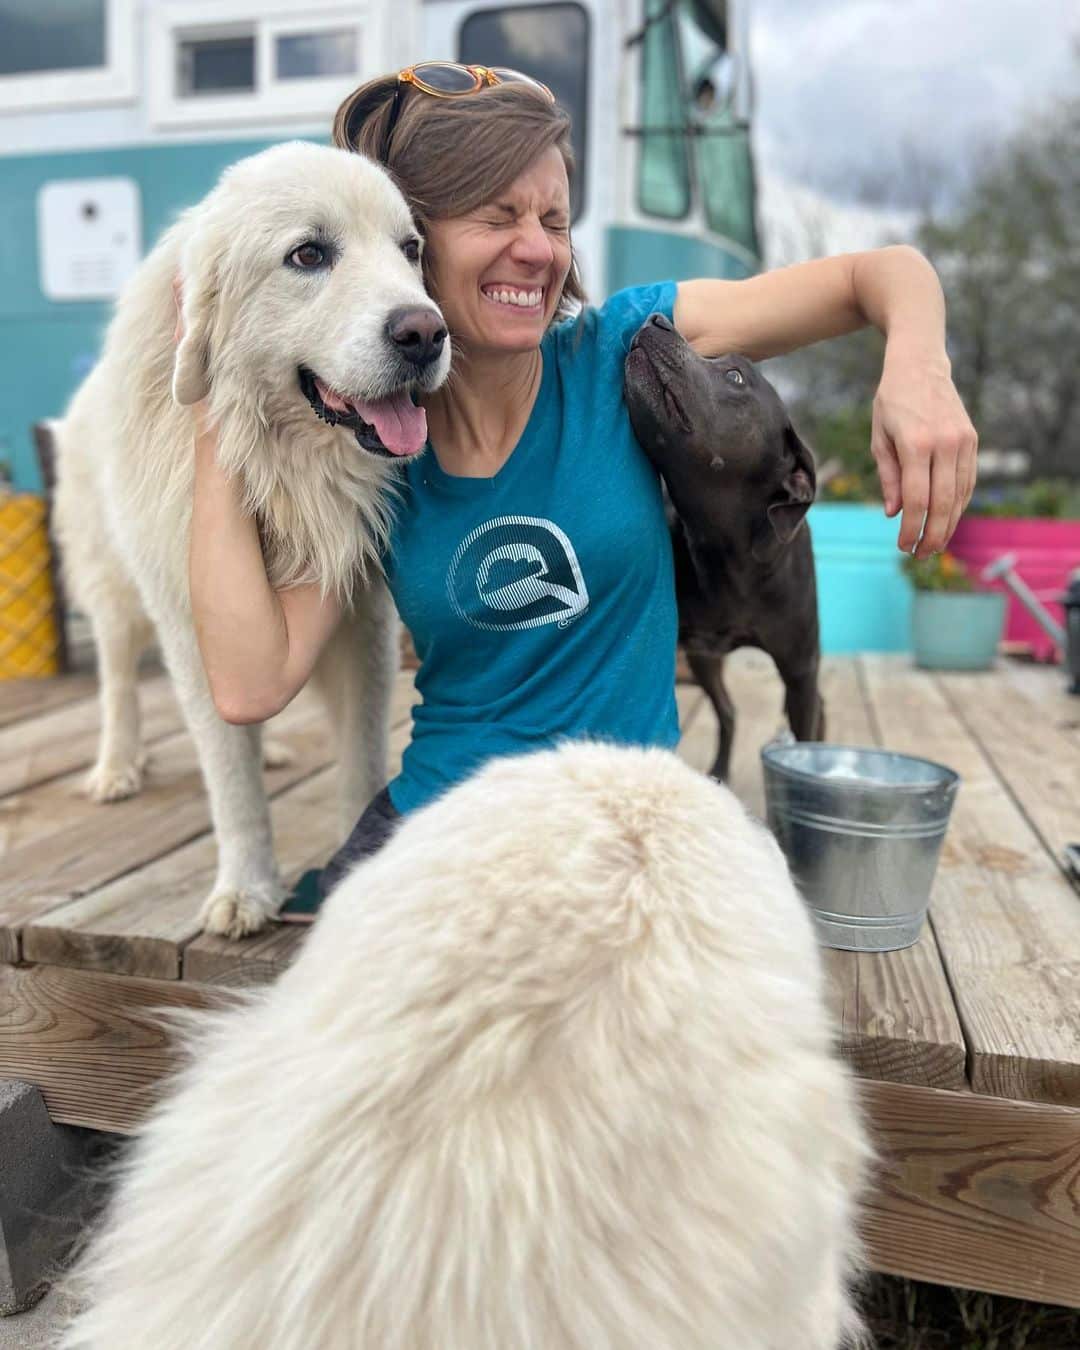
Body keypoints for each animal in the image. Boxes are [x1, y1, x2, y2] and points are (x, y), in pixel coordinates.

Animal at [53, 139, 450, 939]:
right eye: (308, 254)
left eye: (410, 250)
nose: (425, 333)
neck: (278, 467)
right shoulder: (192, 624)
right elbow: (228, 780)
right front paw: (245, 889)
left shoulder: (362, 620)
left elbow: (360, 753)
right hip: (114, 593)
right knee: (117, 681)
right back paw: (116, 766)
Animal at [621, 311, 820, 783]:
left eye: (735, 376)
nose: (657, 319)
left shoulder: (800, 671)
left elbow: (806, 747)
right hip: (701, 658)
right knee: (727, 712)